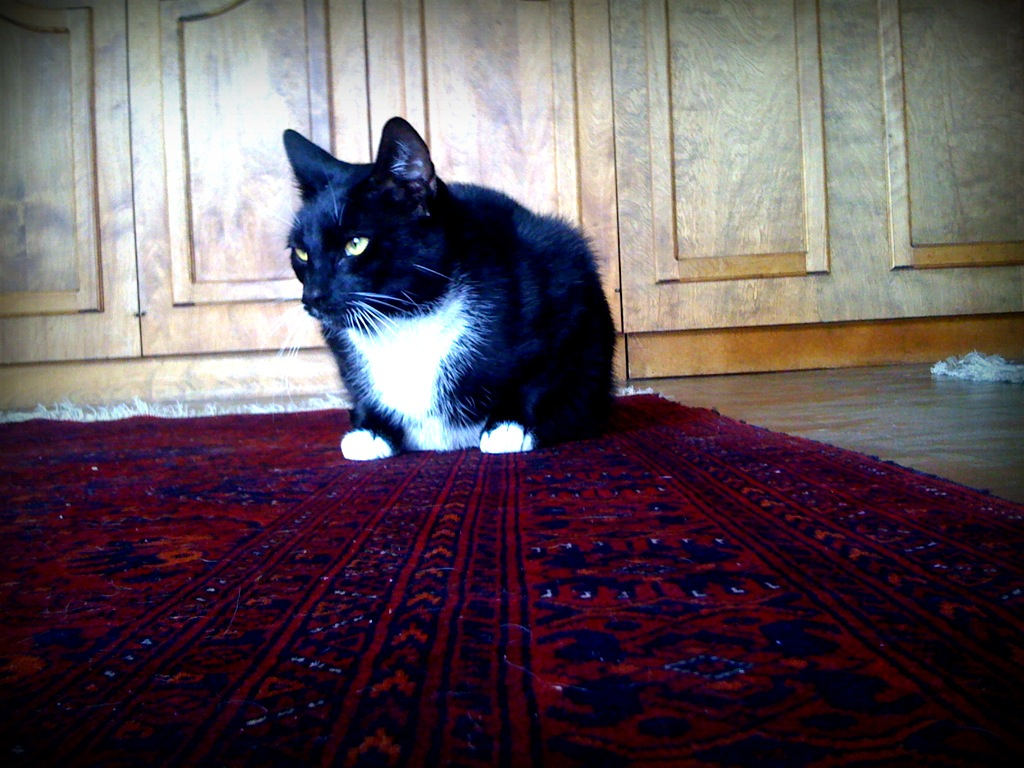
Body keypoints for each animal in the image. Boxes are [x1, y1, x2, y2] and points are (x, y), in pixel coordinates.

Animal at [284, 117, 610, 460]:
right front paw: (369, 429)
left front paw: (510, 425)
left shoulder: (563, 281)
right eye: (301, 253)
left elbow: (543, 375)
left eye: (355, 244)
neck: (406, 321)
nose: (312, 297)